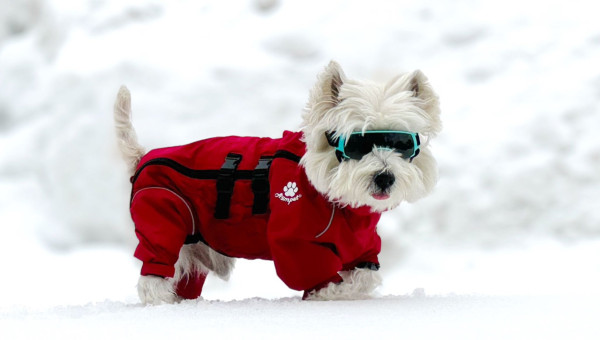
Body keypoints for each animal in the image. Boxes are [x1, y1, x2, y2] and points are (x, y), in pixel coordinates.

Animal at [113, 60, 440, 302]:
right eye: (356, 143)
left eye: (402, 143)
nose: (385, 177)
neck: (335, 201)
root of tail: (143, 157)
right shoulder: (293, 243)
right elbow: (325, 279)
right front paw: (332, 295)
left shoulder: (361, 247)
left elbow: (366, 276)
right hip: (163, 222)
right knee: (153, 278)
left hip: (192, 244)